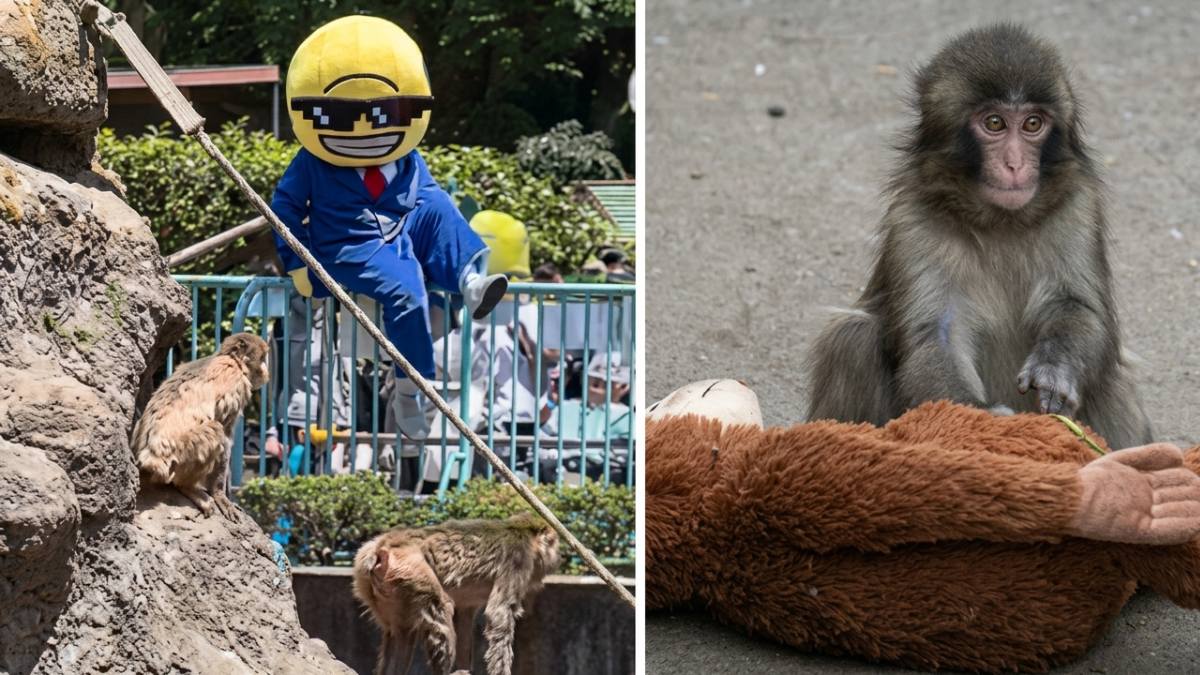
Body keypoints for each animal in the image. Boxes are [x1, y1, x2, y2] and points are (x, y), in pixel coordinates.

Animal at [133, 332, 270, 518]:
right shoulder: (236, 383)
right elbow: (225, 437)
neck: (231, 359)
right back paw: (188, 487)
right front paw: (219, 494)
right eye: (262, 358)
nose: (266, 371)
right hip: (177, 458)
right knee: (216, 430)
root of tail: (146, 461)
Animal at [353, 513, 560, 675]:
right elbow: (499, 612)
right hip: (410, 569)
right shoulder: (518, 560)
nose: (557, 557)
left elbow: (464, 618)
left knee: (402, 634)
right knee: (440, 607)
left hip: (374, 587)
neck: (524, 534)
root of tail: (380, 547)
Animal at [805, 23, 1153, 451]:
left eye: (1032, 124)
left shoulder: (1078, 207)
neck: (1000, 220)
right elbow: (939, 333)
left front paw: (1055, 367)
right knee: (852, 338)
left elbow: (1078, 307)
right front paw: (980, 420)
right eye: (995, 123)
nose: (1015, 164)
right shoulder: (913, 220)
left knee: (1109, 378)